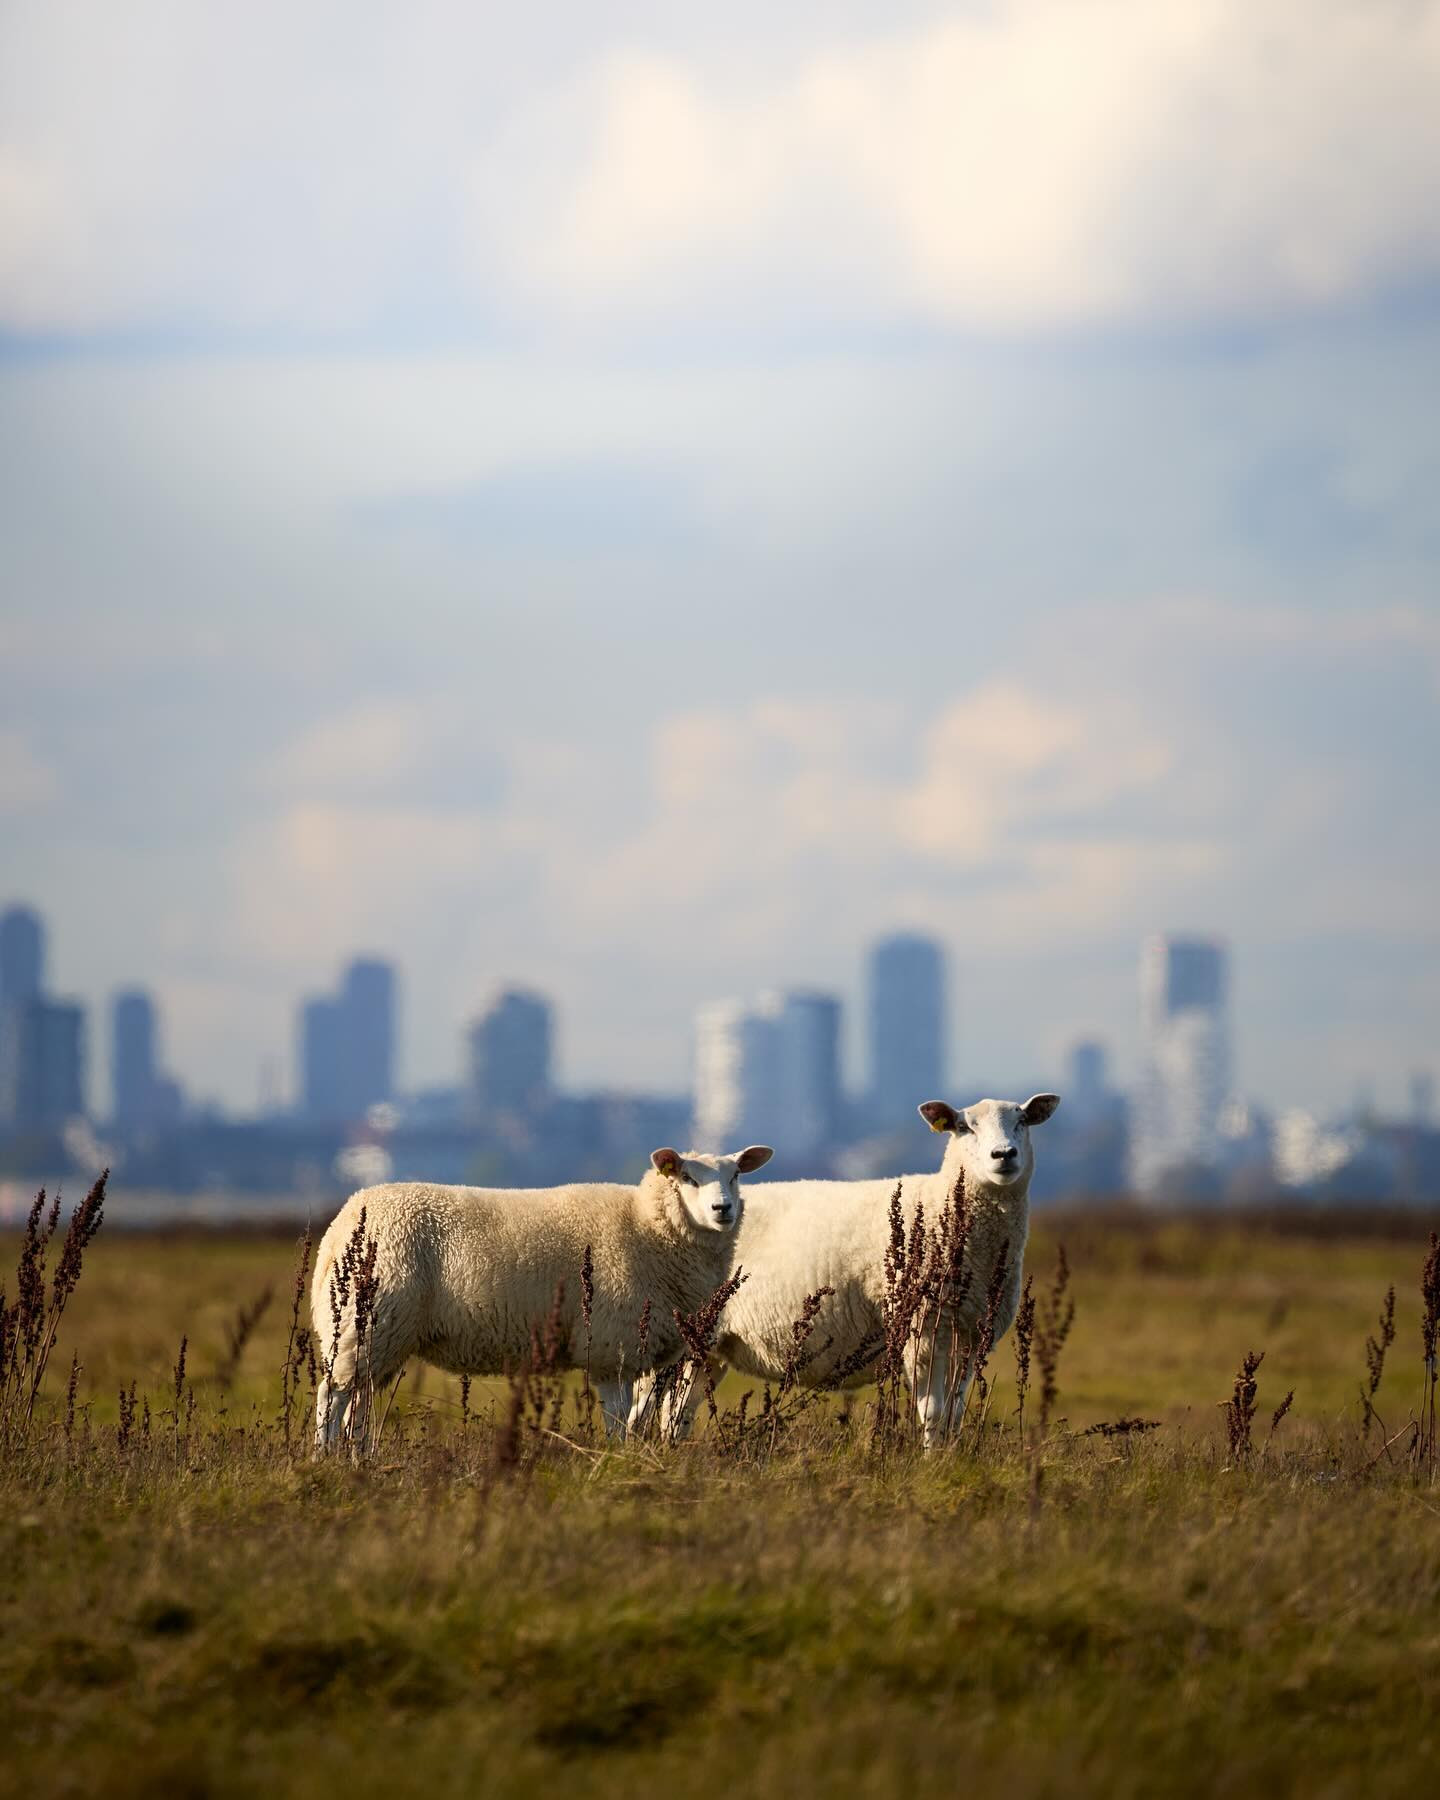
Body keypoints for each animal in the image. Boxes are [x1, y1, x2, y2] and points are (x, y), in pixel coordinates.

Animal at [312, 1142, 773, 1452]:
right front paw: (615, 1458)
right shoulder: (612, 1347)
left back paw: (357, 1458)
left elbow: (639, 1420)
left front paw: (636, 1455)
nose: (723, 1209)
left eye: (736, 1176)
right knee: (332, 1394)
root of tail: (340, 1226)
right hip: (368, 1321)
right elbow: (617, 1419)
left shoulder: (646, 1352)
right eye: (687, 1178)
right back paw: (324, 1456)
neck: (646, 1227)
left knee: (358, 1400)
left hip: (380, 1335)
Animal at [632, 1095, 1059, 1449]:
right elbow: (933, 1413)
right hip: (670, 1329)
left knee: (676, 1413)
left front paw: (949, 1458)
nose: (1004, 1155)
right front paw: (930, 1462)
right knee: (644, 1406)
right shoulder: (921, 1332)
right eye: (964, 1126)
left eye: (1023, 1120)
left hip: (707, 1347)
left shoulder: (970, 1335)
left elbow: (953, 1413)